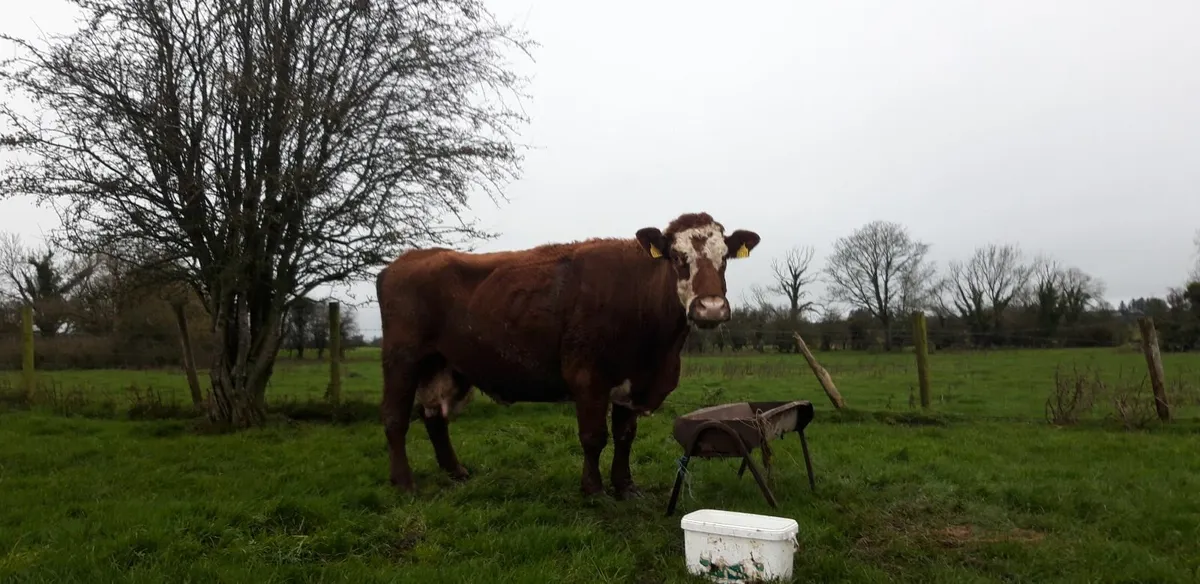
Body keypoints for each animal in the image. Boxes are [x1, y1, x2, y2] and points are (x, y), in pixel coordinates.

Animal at [376, 212, 761, 498]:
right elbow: (593, 437)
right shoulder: (587, 376)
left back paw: (455, 471)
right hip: (402, 359)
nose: (711, 308)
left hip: (444, 365)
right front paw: (593, 489)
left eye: (724, 259)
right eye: (679, 258)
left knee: (433, 417)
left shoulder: (630, 379)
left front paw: (625, 486)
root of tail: (408, 259)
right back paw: (404, 482)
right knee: (395, 418)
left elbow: (625, 436)